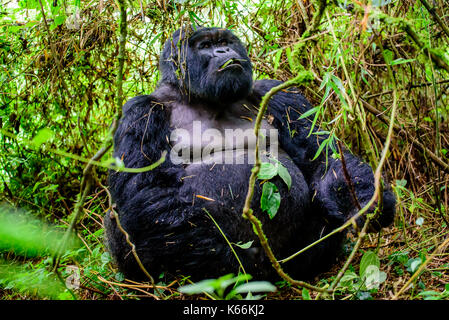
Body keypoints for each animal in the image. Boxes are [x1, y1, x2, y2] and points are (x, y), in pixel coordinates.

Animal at [103, 26, 394, 282]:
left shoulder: (276, 93)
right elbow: (146, 190)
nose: (224, 50)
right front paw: (221, 257)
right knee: (125, 220)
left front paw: (366, 199)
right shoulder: (140, 113)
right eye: (205, 46)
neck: (201, 98)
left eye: (225, 41)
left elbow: (320, 156)